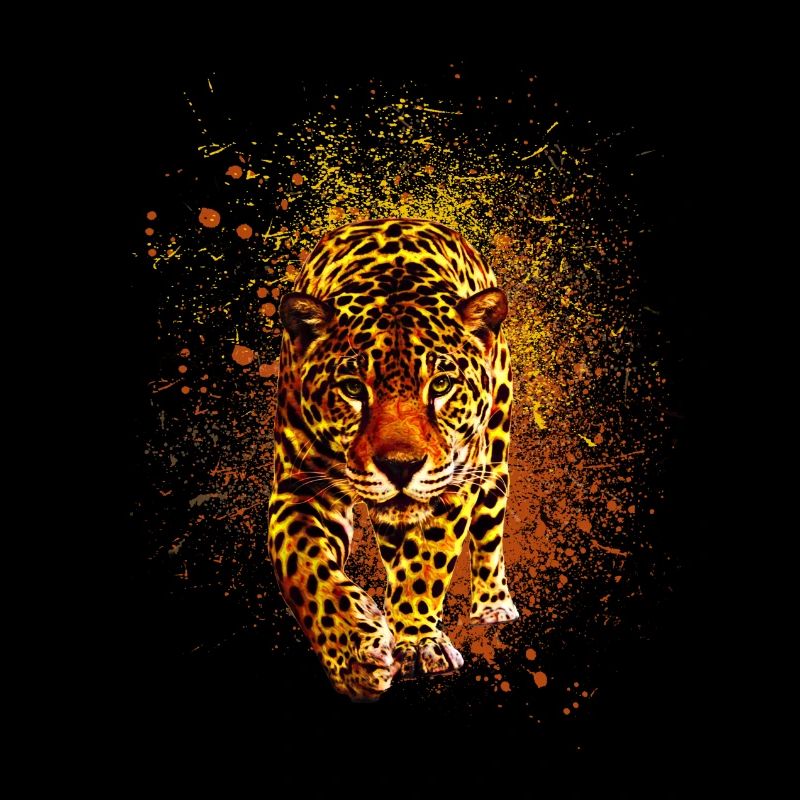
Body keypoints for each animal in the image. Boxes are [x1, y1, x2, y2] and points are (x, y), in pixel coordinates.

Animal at [268, 218, 517, 701]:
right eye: (352, 388)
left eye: (441, 385)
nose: (401, 465)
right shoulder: (299, 488)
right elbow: (305, 570)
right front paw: (354, 654)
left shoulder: (452, 484)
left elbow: (426, 563)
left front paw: (418, 641)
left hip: (492, 460)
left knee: (488, 535)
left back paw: (494, 606)